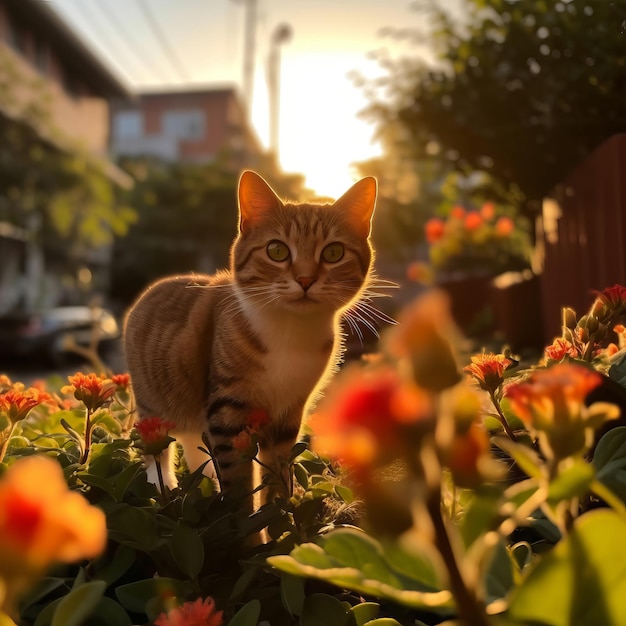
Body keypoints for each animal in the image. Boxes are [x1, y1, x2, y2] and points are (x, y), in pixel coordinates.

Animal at [122, 168, 376, 510]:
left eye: (333, 253)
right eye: (277, 250)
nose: (305, 279)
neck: (290, 334)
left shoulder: (288, 414)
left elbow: (278, 472)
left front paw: (282, 516)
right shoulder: (228, 411)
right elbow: (239, 481)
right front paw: (245, 522)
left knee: (192, 443)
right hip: (154, 401)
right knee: (157, 450)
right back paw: (165, 490)